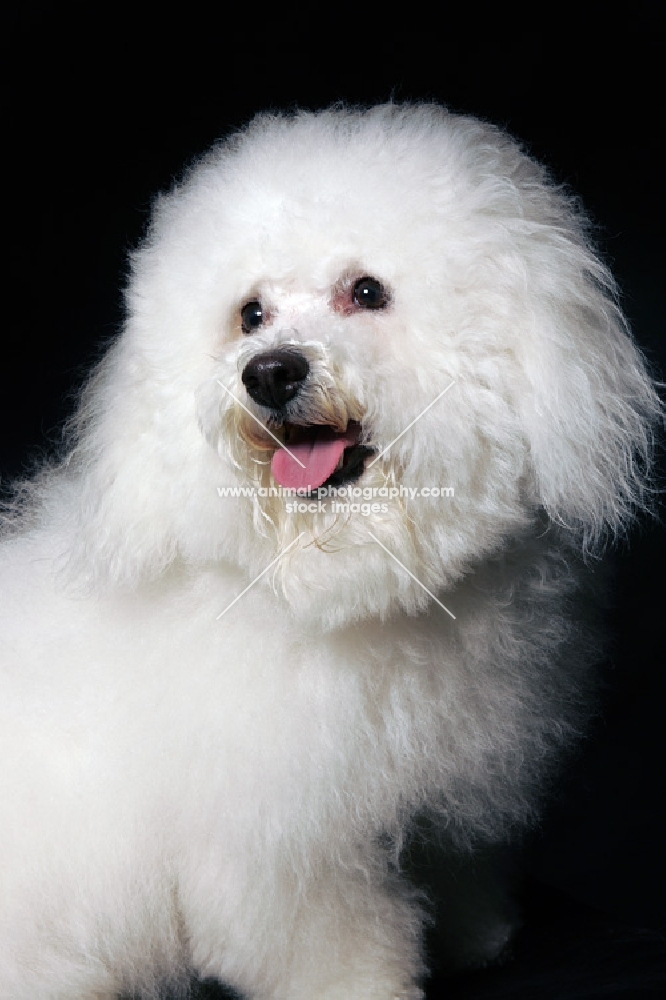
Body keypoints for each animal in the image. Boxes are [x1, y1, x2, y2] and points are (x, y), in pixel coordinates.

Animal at [0, 105, 656, 996]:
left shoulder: (442, 793)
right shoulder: (284, 846)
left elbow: (455, 864)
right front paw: (368, 986)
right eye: (250, 313)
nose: (270, 373)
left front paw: (478, 933)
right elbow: (323, 935)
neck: (348, 582)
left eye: (367, 291)